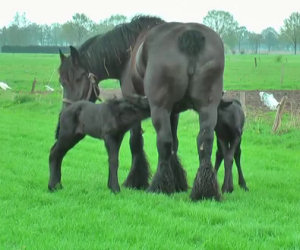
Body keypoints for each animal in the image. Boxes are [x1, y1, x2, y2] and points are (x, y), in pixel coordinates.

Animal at [56, 15, 225, 200]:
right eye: (61, 80)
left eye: (76, 78)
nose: (66, 111)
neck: (128, 53)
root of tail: (189, 35)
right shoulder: (174, 111)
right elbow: (175, 143)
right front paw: (177, 182)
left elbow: (136, 142)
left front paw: (136, 180)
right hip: (207, 107)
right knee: (205, 141)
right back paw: (204, 191)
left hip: (159, 108)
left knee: (164, 141)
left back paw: (158, 187)